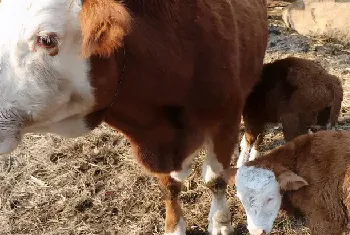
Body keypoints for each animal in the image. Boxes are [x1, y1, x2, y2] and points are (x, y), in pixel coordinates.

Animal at [0, 0, 268, 234]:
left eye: (46, 40)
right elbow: (169, 187)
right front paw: (174, 227)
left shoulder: (225, 122)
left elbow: (215, 180)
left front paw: (220, 223)